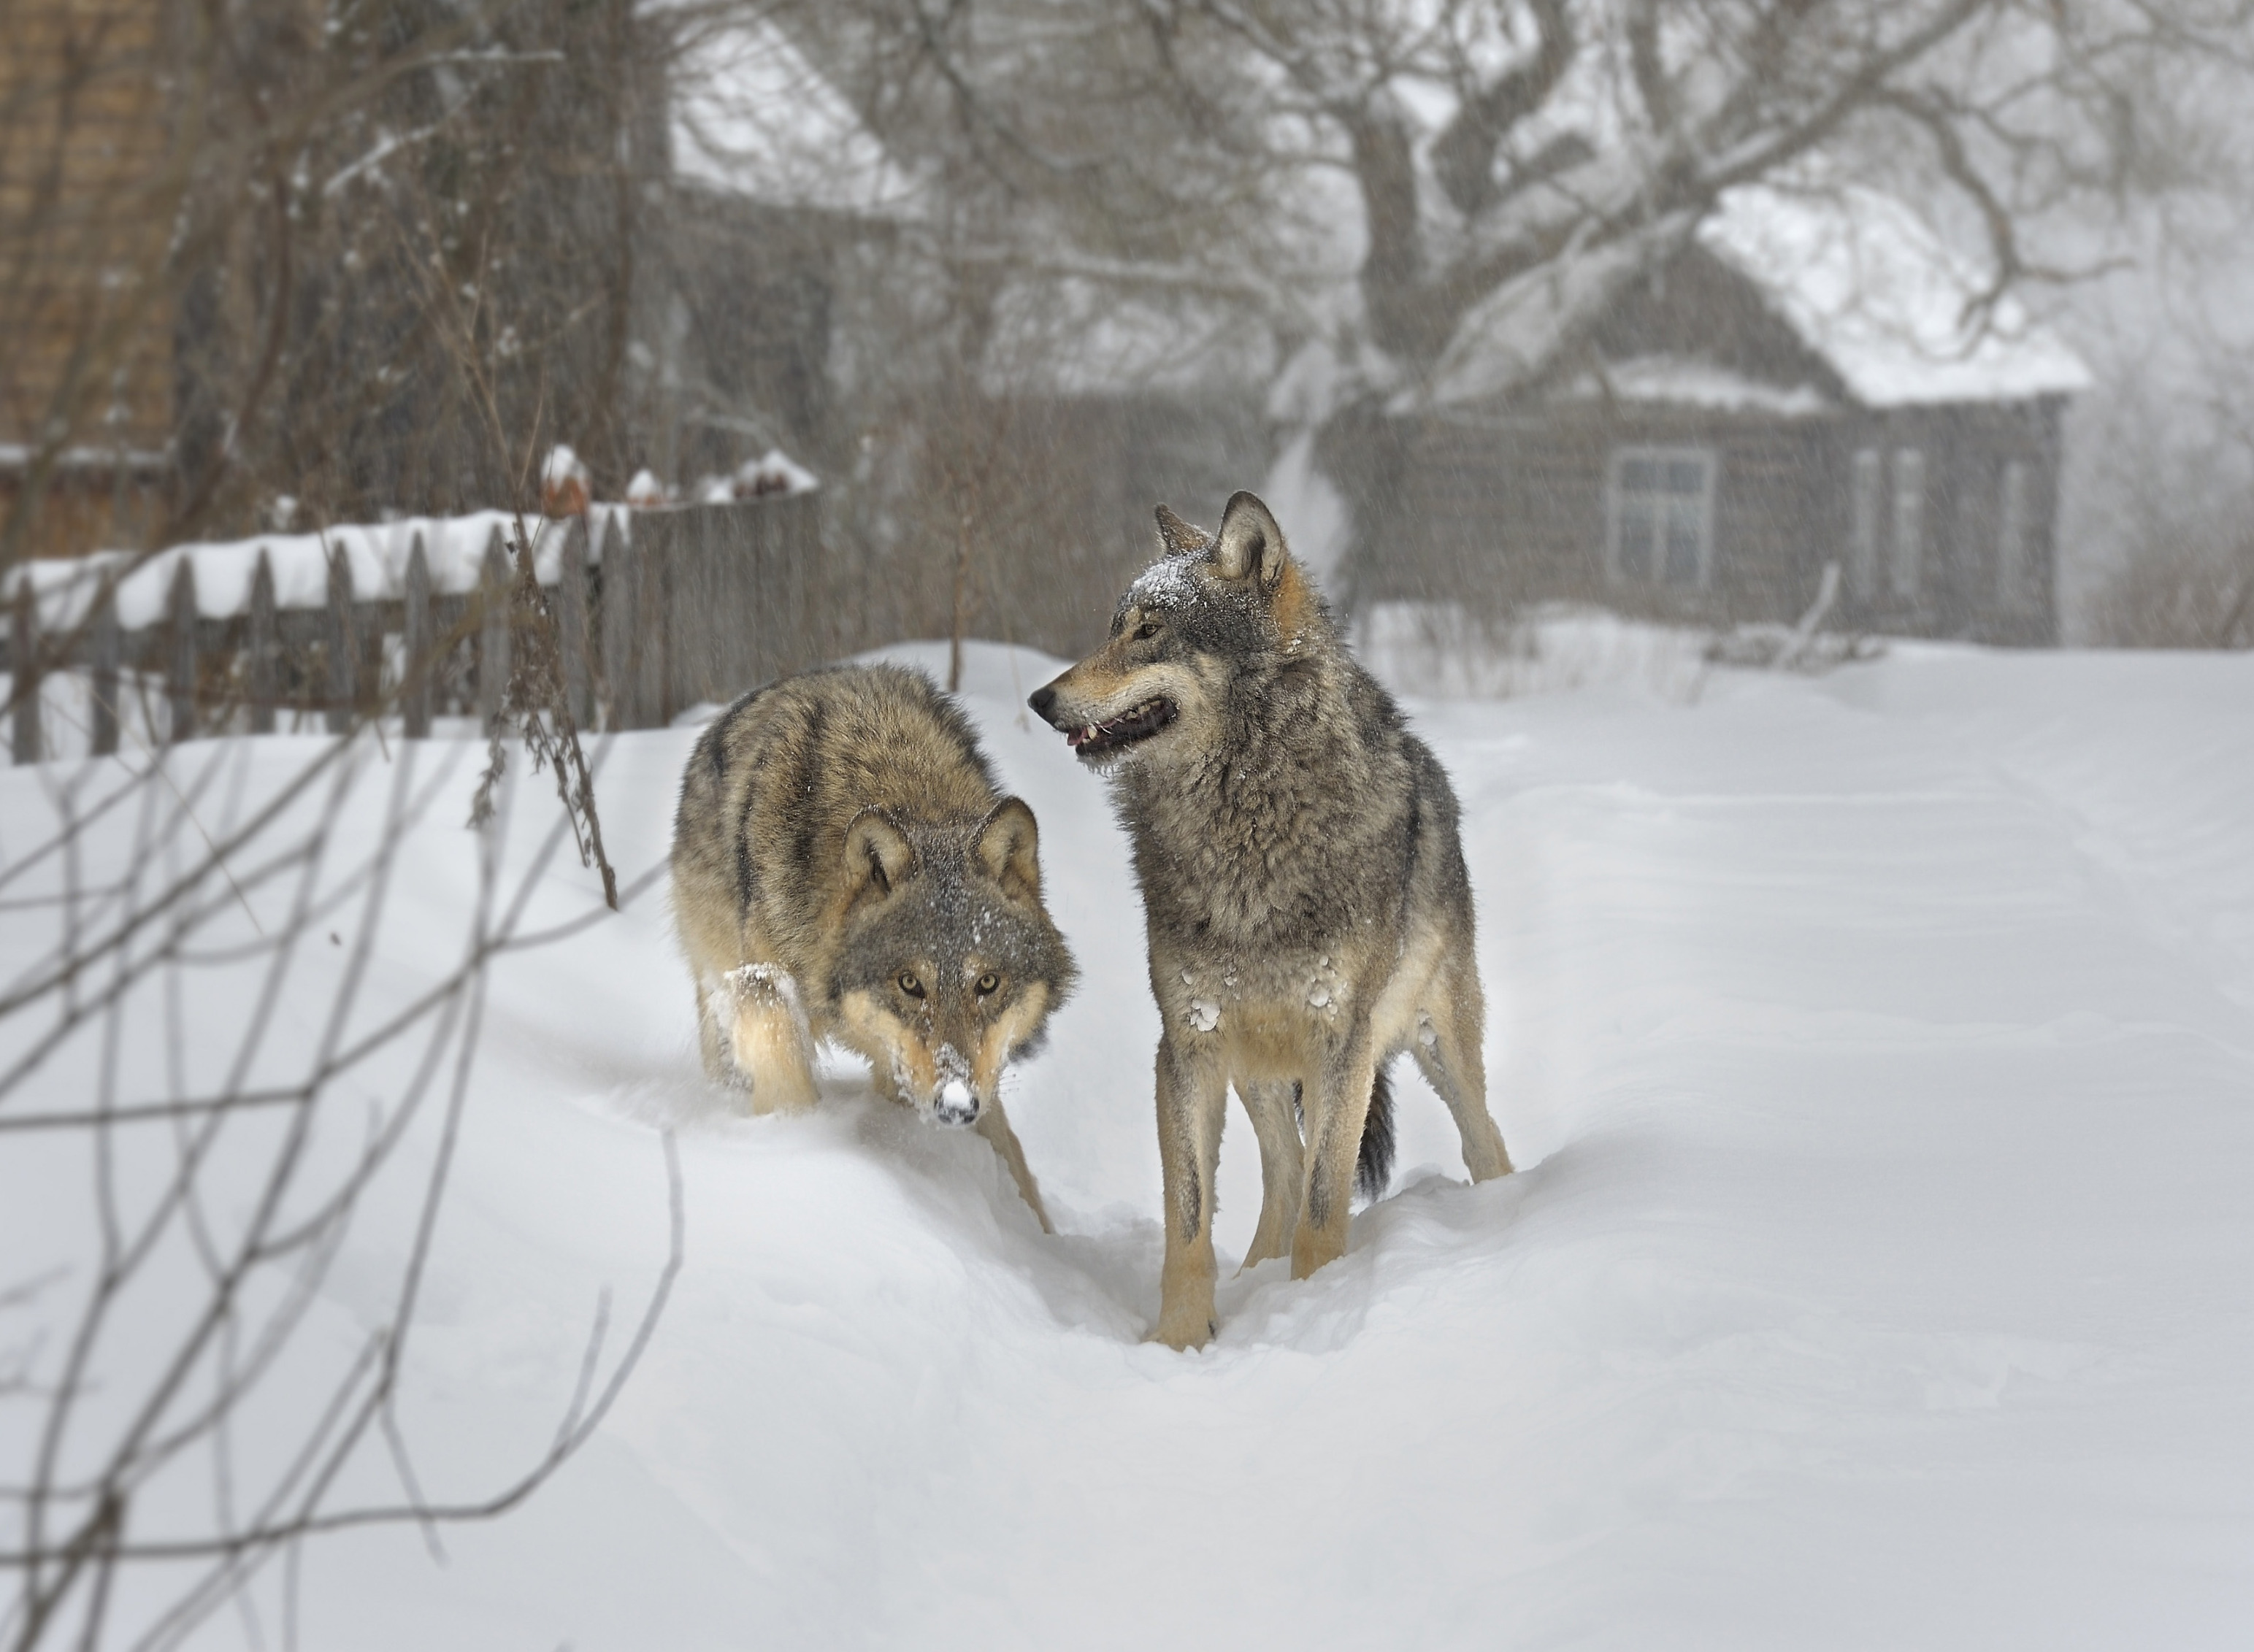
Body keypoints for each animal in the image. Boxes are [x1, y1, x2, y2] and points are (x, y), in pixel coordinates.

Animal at [671, 662, 1077, 1234]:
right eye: (910, 983)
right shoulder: (764, 990)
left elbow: (1009, 1149)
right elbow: (786, 1084)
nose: (956, 1108)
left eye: (987, 983)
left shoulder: (948, 1073)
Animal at [1037, 486, 1514, 1343]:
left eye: (1149, 631)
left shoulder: (1341, 1043)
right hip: (1256, 1067)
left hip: (1437, 1044)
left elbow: (1326, 1207)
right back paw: (1256, 1279)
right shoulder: (1186, 1045)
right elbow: (1189, 1219)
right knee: (1284, 1172)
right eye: (1115, 626)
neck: (1244, 824)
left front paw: (1316, 1312)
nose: (1040, 699)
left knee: (1480, 1140)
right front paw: (1180, 1339)